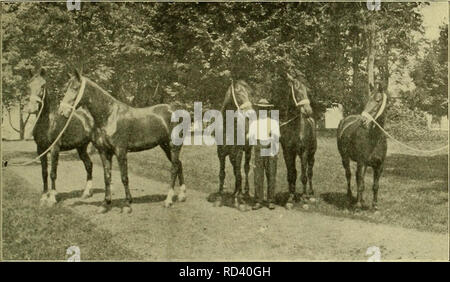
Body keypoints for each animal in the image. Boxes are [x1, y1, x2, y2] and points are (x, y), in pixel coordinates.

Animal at [22, 68, 94, 205]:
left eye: (43, 85)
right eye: (28, 85)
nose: (31, 108)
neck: (48, 121)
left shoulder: (55, 148)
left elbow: (52, 173)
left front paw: (52, 197)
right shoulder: (40, 149)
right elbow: (44, 172)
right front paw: (44, 196)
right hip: (81, 147)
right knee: (89, 164)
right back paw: (86, 193)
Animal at [58, 69, 185, 213]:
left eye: (75, 88)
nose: (62, 111)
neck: (109, 116)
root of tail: (174, 109)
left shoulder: (120, 151)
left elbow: (124, 177)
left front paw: (127, 204)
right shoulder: (104, 152)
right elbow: (107, 177)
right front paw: (105, 204)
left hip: (174, 145)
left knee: (174, 168)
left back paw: (168, 200)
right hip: (165, 146)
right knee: (179, 164)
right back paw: (182, 195)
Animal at [216, 79, 255, 209]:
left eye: (249, 94)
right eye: (238, 93)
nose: (251, 113)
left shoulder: (238, 152)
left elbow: (239, 175)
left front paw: (238, 200)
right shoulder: (221, 154)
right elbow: (222, 174)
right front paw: (220, 197)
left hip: (247, 151)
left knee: (245, 169)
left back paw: (244, 193)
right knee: (235, 170)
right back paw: (235, 192)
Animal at [270, 72, 316, 209]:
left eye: (307, 90)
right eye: (297, 89)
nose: (308, 110)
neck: (294, 128)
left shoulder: (304, 152)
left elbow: (304, 176)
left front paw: (304, 199)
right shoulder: (288, 152)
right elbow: (291, 174)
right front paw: (291, 198)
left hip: (311, 154)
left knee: (310, 172)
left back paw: (310, 194)